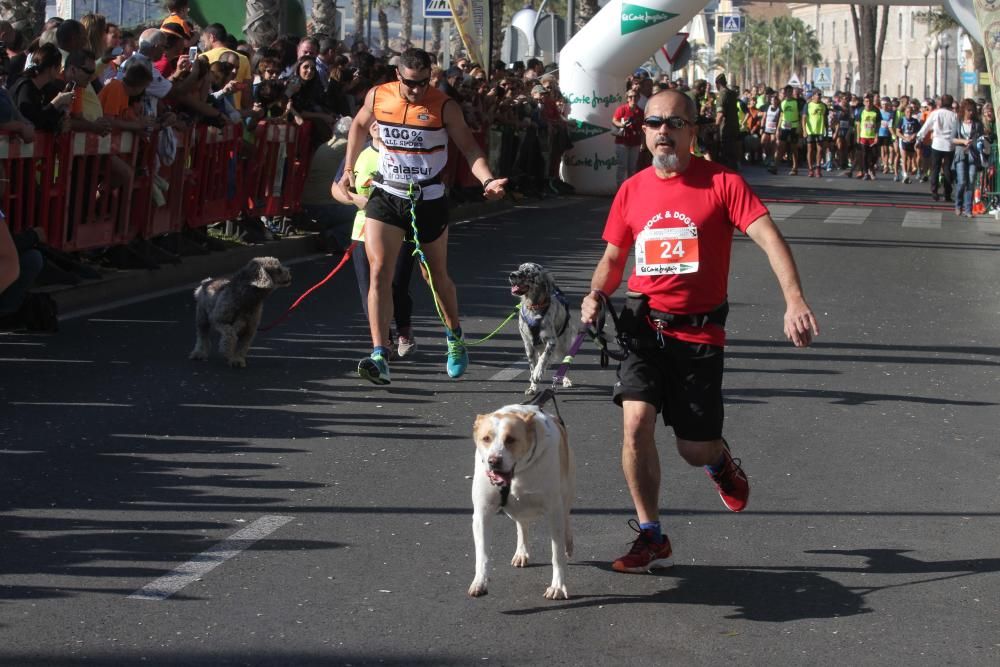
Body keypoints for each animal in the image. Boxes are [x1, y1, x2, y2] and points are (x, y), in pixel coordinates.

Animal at [508, 262, 580, 396]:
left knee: (565, 364)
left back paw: (566, 380)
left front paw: (538, 373)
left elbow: (543, 359)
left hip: (564, 346)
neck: (533, 307)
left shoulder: (551, 341)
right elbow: (533, 366)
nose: (511, 275)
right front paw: (533, 387)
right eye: (519, 268)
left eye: (528, 271)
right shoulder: (528, 345)